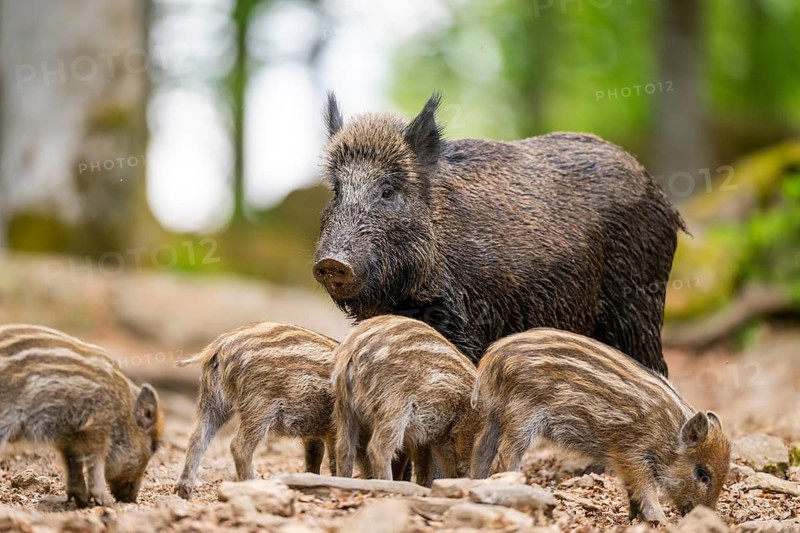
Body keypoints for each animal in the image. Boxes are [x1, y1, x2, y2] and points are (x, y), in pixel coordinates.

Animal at [0, 342, 162, 507]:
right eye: (153, 447)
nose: (132, 500)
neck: (122, 409)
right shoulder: (96, 426)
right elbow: (95, 461)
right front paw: (105, 503)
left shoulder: (68, 435)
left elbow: (72, 461)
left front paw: (82, 500)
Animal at [174, 322, 339, 499]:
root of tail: (220, 346)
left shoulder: (314, 432)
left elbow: (315, 455)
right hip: (260, 407)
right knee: (239, 446)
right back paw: (253, 483)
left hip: (213, 400)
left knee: (197, 437)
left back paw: (184, 490)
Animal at [313, 93, 685, 376]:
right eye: (336, 191)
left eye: (388, 191)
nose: (332, 263)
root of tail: (660, 194)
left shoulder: (465, 322)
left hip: (639, 302)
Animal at [332, 315, 478, 486]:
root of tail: (352, 348)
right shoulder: (463, 429)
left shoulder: (424, 438)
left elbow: (425, 466)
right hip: (394, 404)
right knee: (378, 448)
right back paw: (388, 482)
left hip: (345, 405)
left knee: (344, 448)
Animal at [470, 328, 731, 523]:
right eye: (702, 473)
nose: (706, 513)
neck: (667, 433)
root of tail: (492, 356)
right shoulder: (630, 453)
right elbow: (644, 487)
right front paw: (660, 520)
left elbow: (633, 489)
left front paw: (635, 519)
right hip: (522, 414)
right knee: (507, 451)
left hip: (495, 412)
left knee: (482, 447)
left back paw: (477, 482)